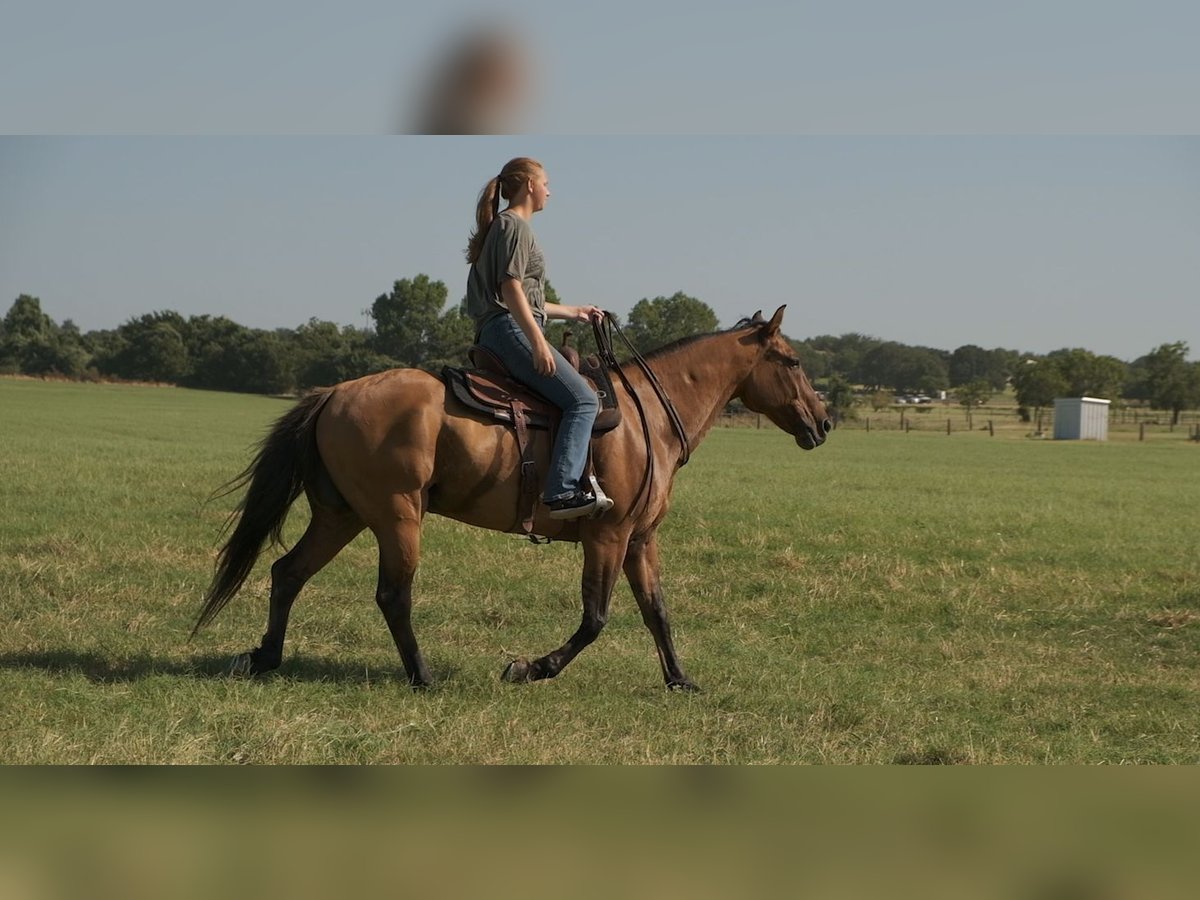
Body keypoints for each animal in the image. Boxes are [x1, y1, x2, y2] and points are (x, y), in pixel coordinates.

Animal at [194, 307, 835, 696]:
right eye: (793, 361)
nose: (824, 423)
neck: (646, 418)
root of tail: (333, 393)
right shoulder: (606, 537)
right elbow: (596, 618)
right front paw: (531, 667)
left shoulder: (639, 540)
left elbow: (657, 612)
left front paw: (681, 681)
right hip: (397, 517)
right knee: (393, 595)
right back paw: (422, 676)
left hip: (342, 516)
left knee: (287, 572)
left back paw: (266, 657)